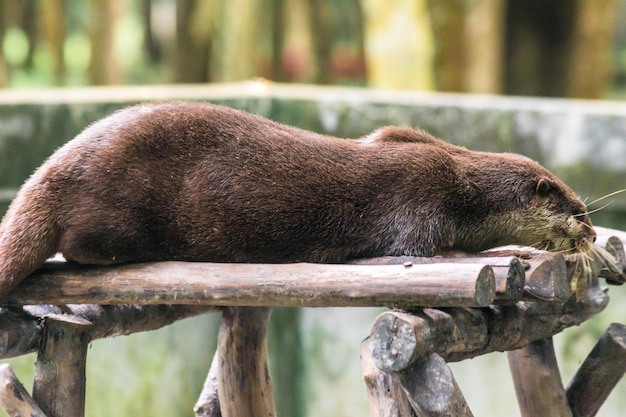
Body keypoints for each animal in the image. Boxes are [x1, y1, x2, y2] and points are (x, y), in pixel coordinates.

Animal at [0, 102, 596, 294]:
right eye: (578, 210)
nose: (591, 233)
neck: (462, 183)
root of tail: (52, 170)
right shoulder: (421, 205)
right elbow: (439, 253)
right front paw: (518, 251)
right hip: (115, 204)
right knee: (80, 246)